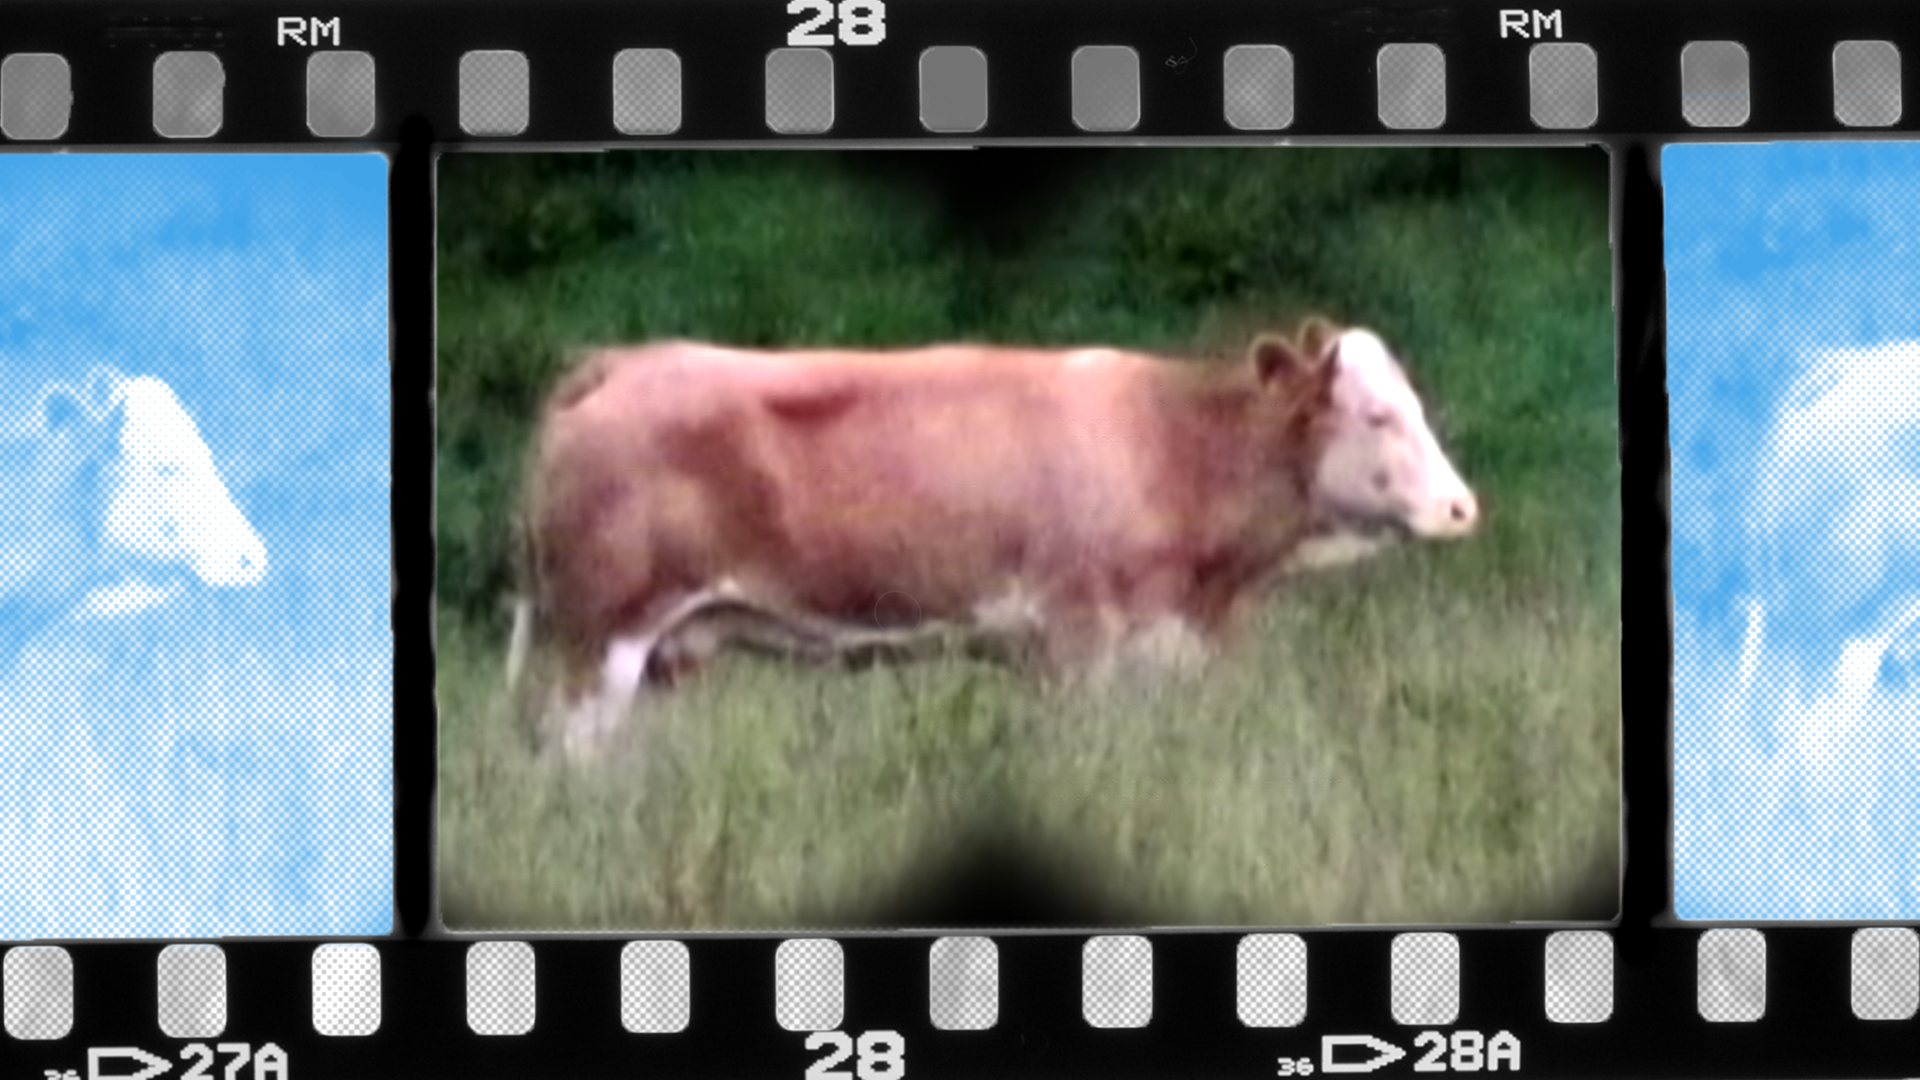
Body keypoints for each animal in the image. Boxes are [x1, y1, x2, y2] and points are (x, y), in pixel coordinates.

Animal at [508, 319, 1479, 759]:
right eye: (1378, 415)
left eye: (1414, 402)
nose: (1462, 508)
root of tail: (623, 360)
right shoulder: (1078, 639)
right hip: (602, 636)